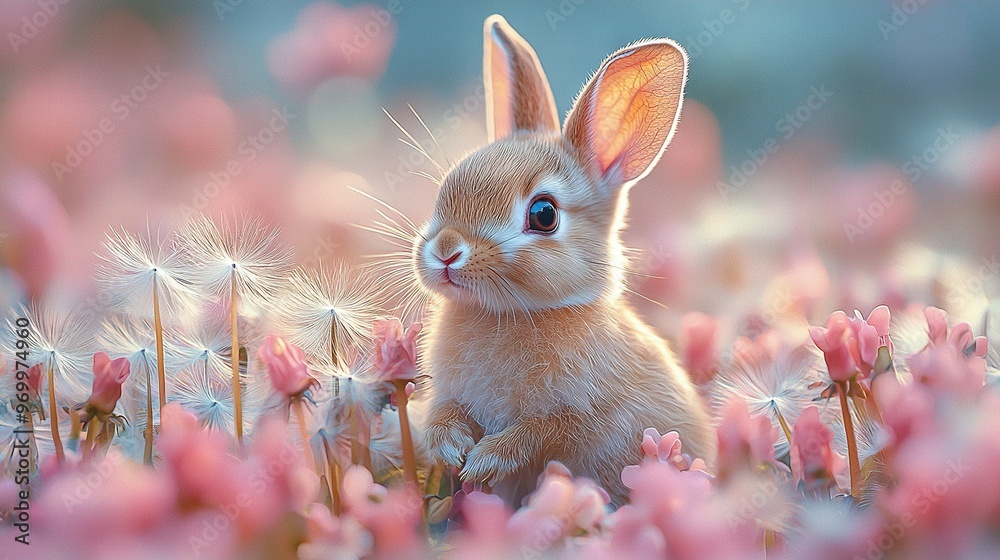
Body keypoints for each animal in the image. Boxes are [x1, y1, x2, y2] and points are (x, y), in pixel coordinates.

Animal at [415, 14, 715, 506]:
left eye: (544, 214)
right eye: (446, 187)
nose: (446, 252)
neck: (512, 314)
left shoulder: (577, 415)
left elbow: (540, 432)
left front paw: (483, 461)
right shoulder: (447, 393)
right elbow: (443, 411)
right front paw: (450, 448)